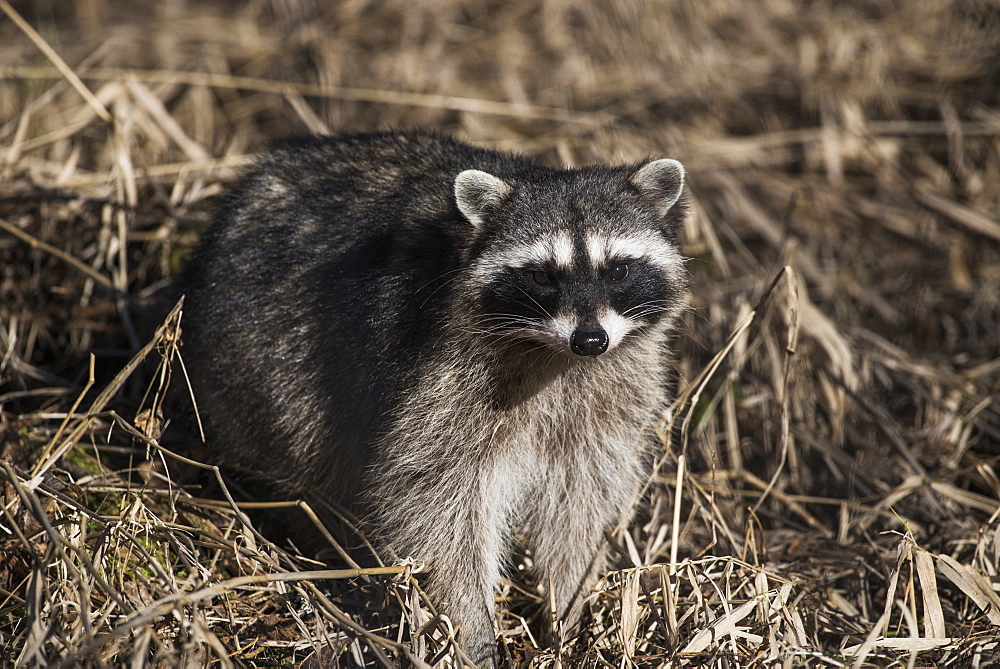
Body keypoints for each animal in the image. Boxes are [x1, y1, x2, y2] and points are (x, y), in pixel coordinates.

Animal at [182, 129, 688, 664]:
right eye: (542, 276)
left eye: (618, 270)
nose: (590, 340)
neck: (555, 357)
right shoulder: (442, 372)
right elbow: (431, 495)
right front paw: (471, 625)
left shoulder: (610, 390)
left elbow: (583, 495)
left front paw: (571, 607)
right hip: (261, 355)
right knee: (306, 451)